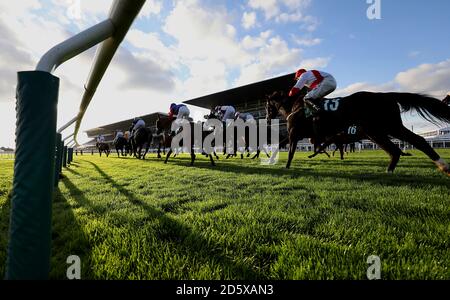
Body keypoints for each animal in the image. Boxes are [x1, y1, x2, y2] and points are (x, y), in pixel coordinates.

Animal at [266, 90, 450, 175]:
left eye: (267, 105)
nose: (267, 117)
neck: (295, 107)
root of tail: (386, 95)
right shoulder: (307, 136)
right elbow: (284, 146)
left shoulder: (295, 133)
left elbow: (287, 150)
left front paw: (282, 164)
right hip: (377, 131)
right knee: (399, 148)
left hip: (387, 127)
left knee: (415, 142)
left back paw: (442, 165)